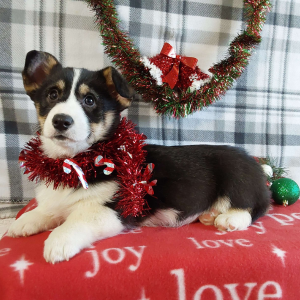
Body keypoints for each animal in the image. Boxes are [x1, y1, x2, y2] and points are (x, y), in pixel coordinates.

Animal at [7, 51, 270, 262]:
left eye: (90, 100)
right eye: (52, 95)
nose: (61, 121)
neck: (72, 163)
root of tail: (257, 166)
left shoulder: (112, 210)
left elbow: (77, 219)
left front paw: (58, 242)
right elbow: (46, 210)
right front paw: (22, 222)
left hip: (236, 175)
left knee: (253, 206)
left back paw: (229, 219)